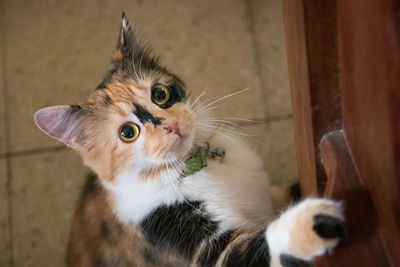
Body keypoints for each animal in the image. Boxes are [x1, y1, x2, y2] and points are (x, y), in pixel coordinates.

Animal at [33, 13, 344, 267]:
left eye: (161, 94)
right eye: (127, 133)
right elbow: (261, 246)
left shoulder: (270, 193)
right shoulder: (197, 245)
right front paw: (316, 221)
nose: (170, 126)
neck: (198, 164)